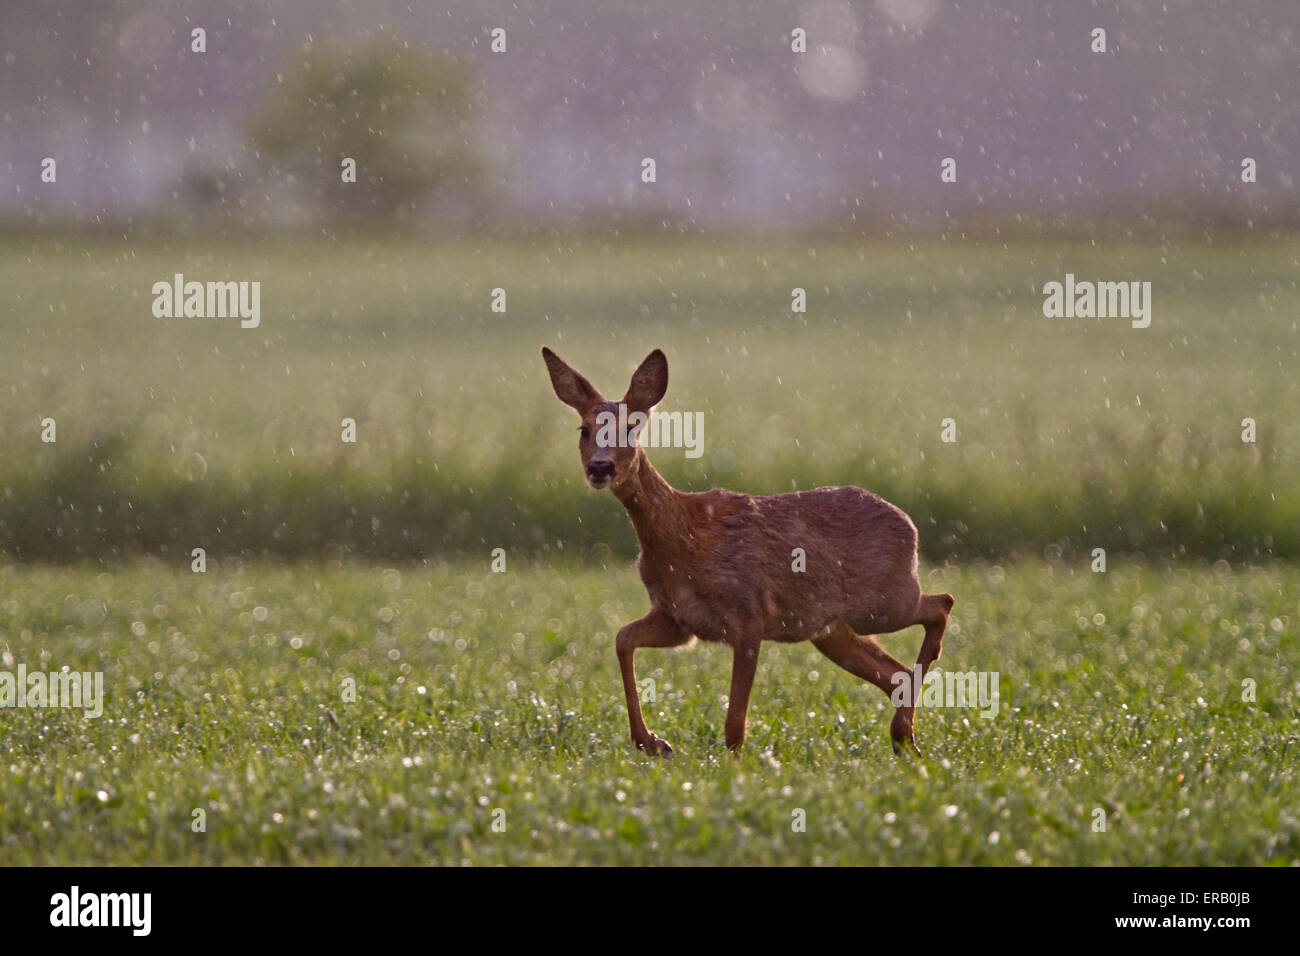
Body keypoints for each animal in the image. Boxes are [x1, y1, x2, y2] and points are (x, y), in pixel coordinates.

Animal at [540, 348, 956, 759]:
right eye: (584, 430)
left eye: (631, 428)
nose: (600, 467)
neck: (683, 535)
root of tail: (909, 526)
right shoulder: (678, 620)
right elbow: (623, 638)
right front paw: (653, 742)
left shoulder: (748, 614)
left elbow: (734, 722)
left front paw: (731, 764)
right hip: (831, 630)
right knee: (897, 672)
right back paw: (904, 740)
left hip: (882, 602)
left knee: (941, 603)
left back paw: (907, 726)